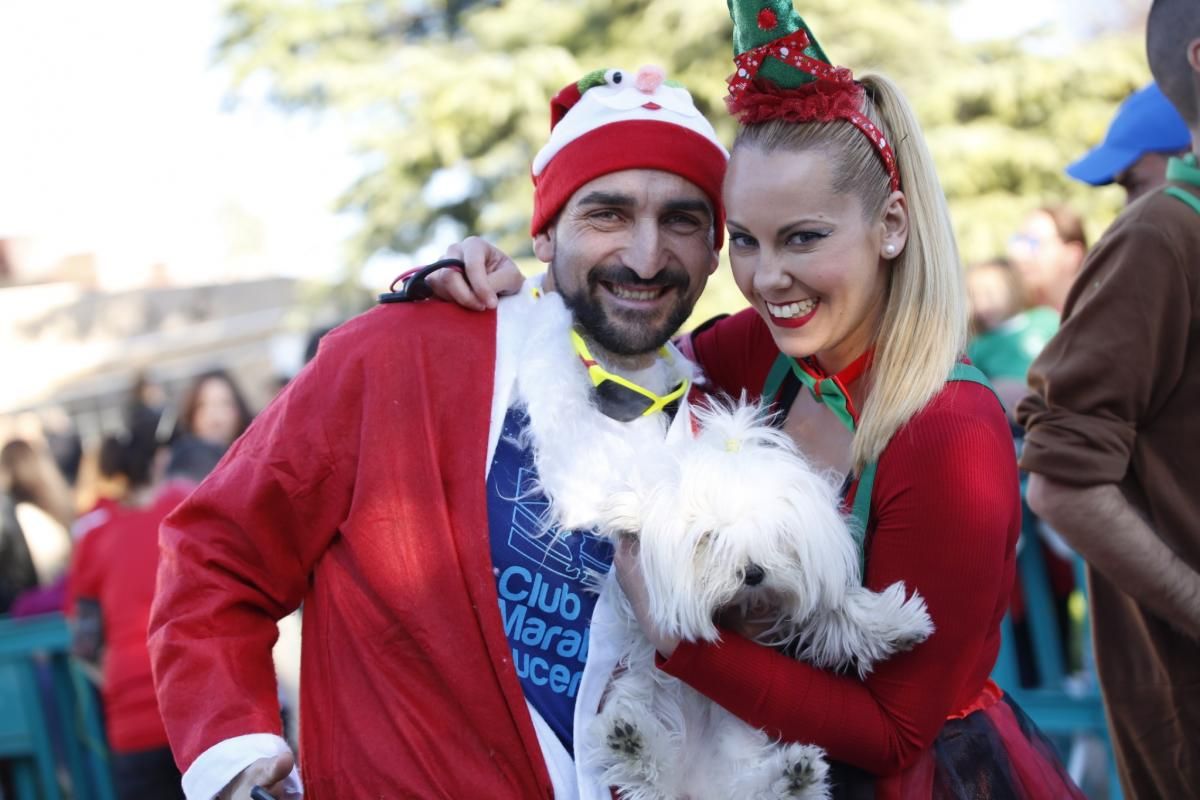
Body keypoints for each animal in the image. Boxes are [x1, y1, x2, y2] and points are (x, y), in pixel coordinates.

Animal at [583, 402, 936, 796]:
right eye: (711, 537)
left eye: (777, 534)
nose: (753, 574)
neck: (739, 605)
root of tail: (697, 790)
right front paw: (632, 511)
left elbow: (840, 609)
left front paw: (899, 624)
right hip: (652, 705)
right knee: (652, 772)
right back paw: (631, 742)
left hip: (738, 757)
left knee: (758, 790)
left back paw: (795, 778)